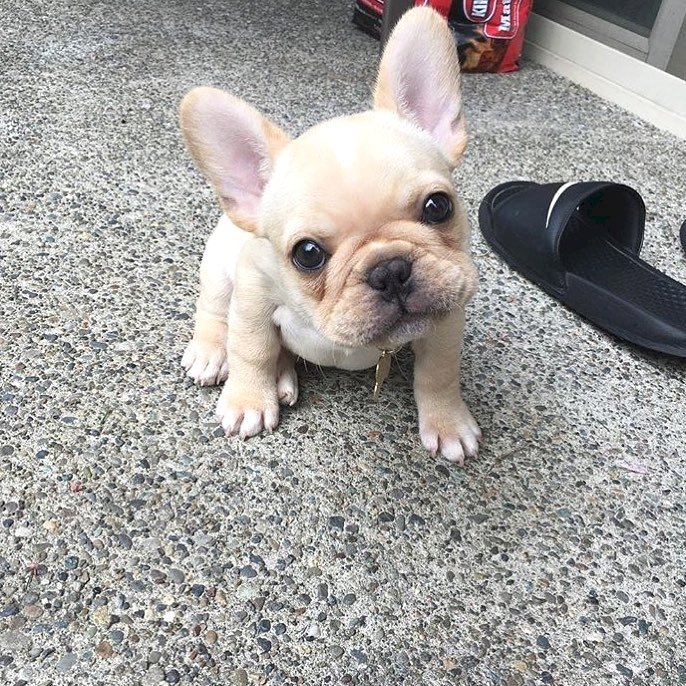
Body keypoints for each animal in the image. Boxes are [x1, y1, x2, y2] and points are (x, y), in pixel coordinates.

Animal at [180, 6, 482, 462]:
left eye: (438, 206)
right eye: (307, 253)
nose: (390, 269)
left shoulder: (446, 317)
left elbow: (439, 372)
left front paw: (447, 422)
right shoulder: (252, 296)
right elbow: (252, 350)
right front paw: (248, 399)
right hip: (219, 269)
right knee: (214, 312)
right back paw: (215, 354)